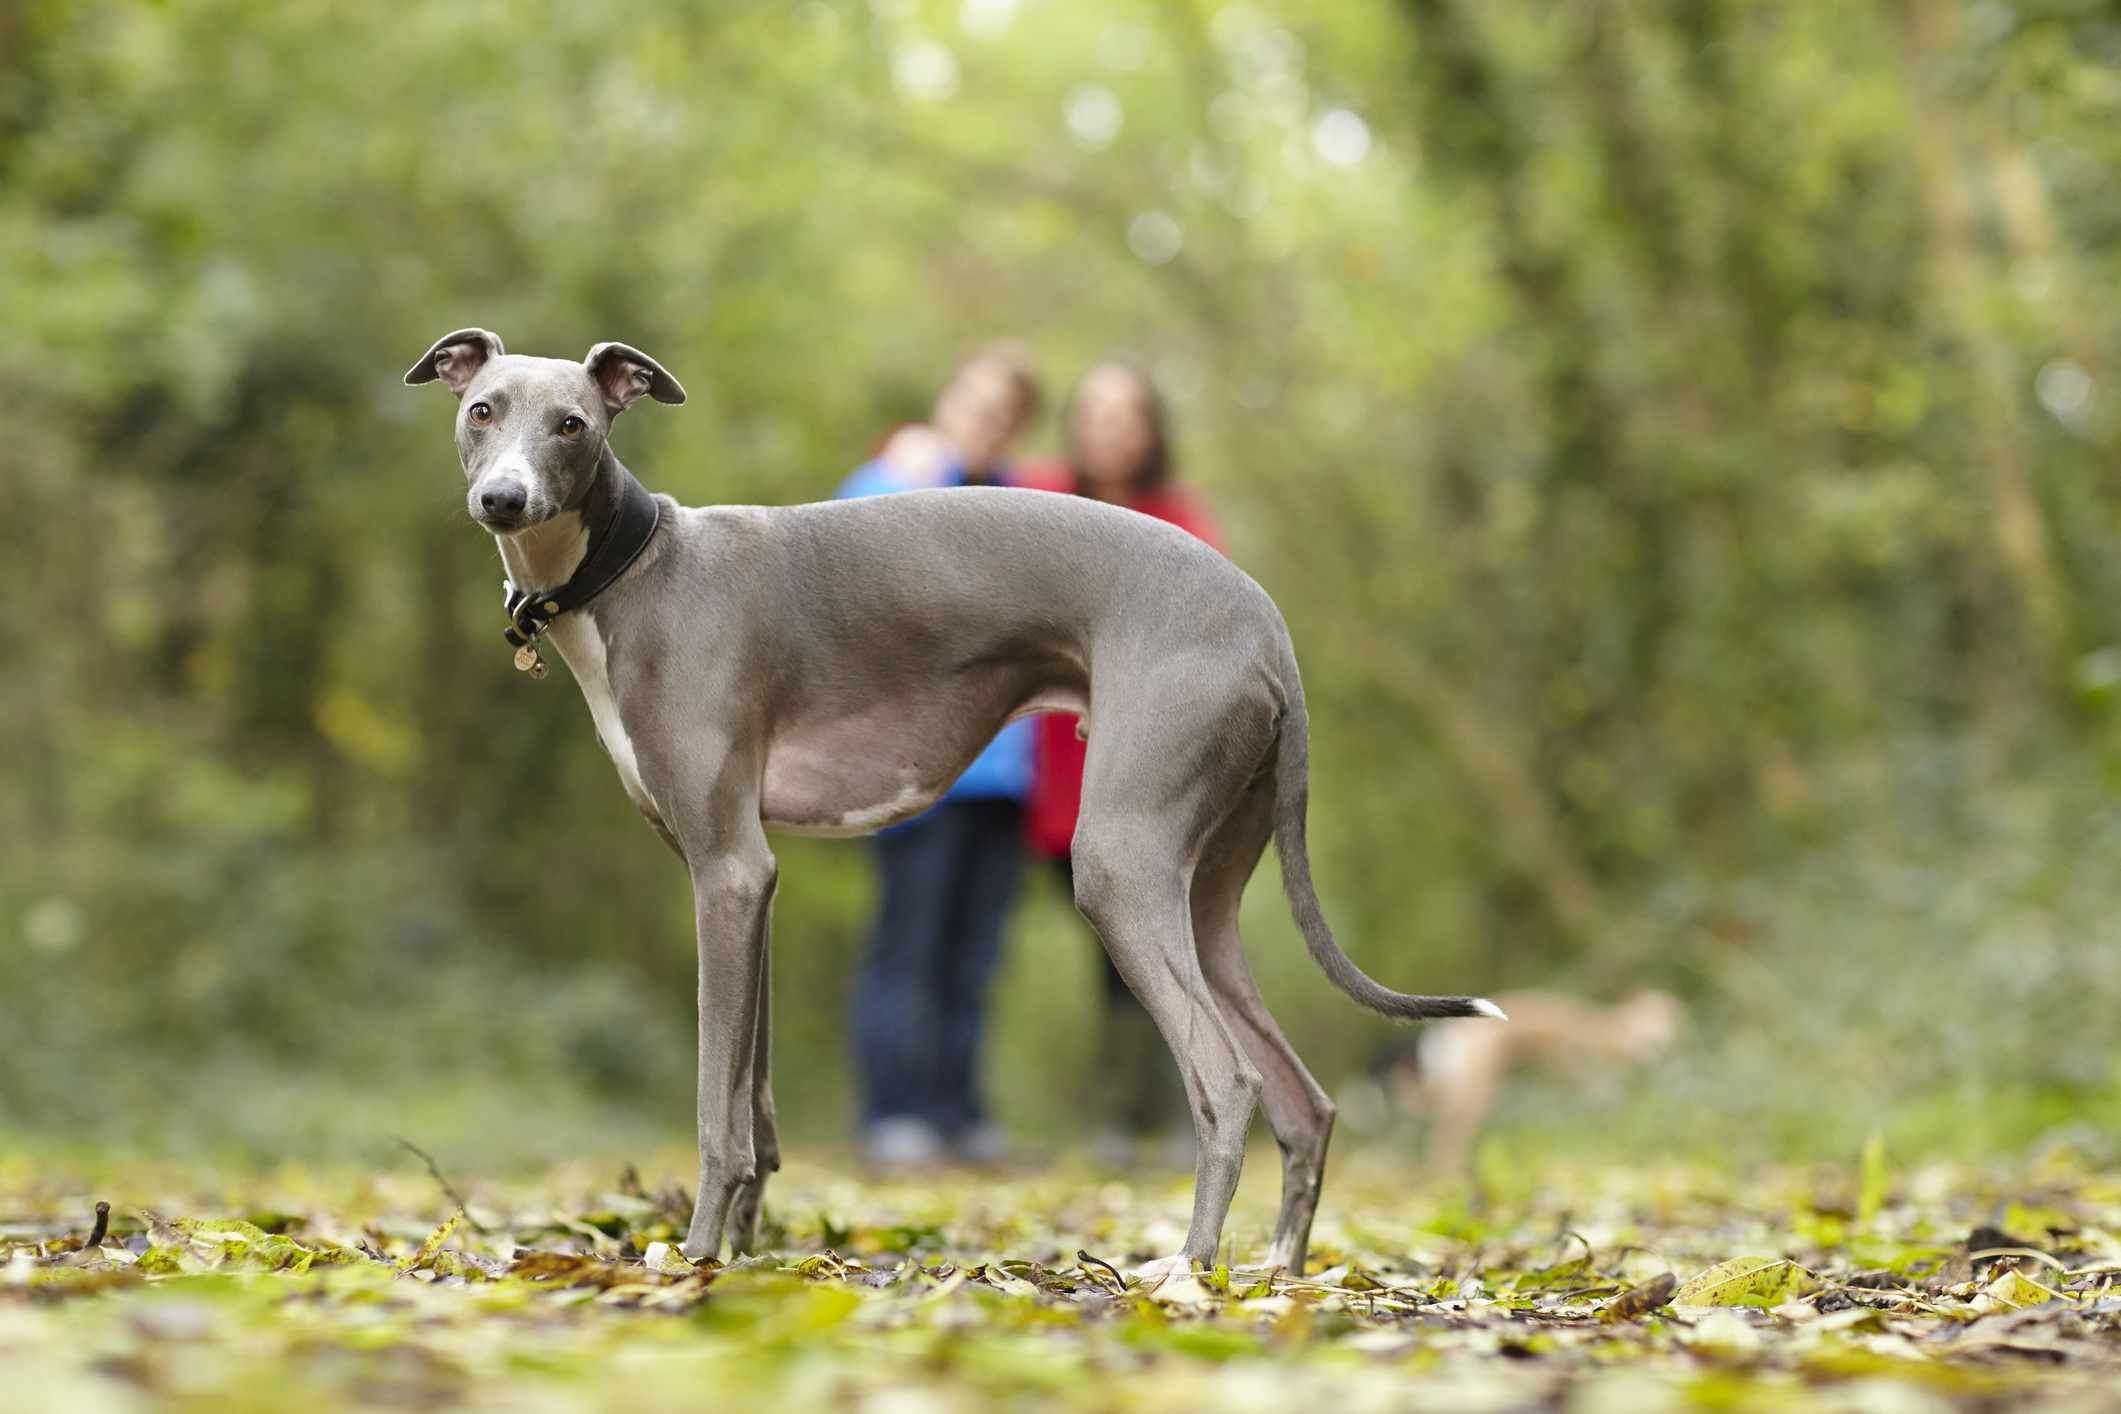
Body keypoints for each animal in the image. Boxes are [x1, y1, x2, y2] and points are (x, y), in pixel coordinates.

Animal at [405, 329, 1501, 1278]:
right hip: (1207, 898)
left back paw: (1185, 1270)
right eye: (480, 409)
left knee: (1225, 1082)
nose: (503, 499)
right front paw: (751, 1244)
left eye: (573, 423)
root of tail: (1266, 627)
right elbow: (757, 1100)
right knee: (1302, 1101)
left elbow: (719, 1106)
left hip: (1120, 866)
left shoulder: (727, 870)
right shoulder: (750, 882)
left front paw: (702, 1252)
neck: (640, 570)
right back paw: (1276, 1270)